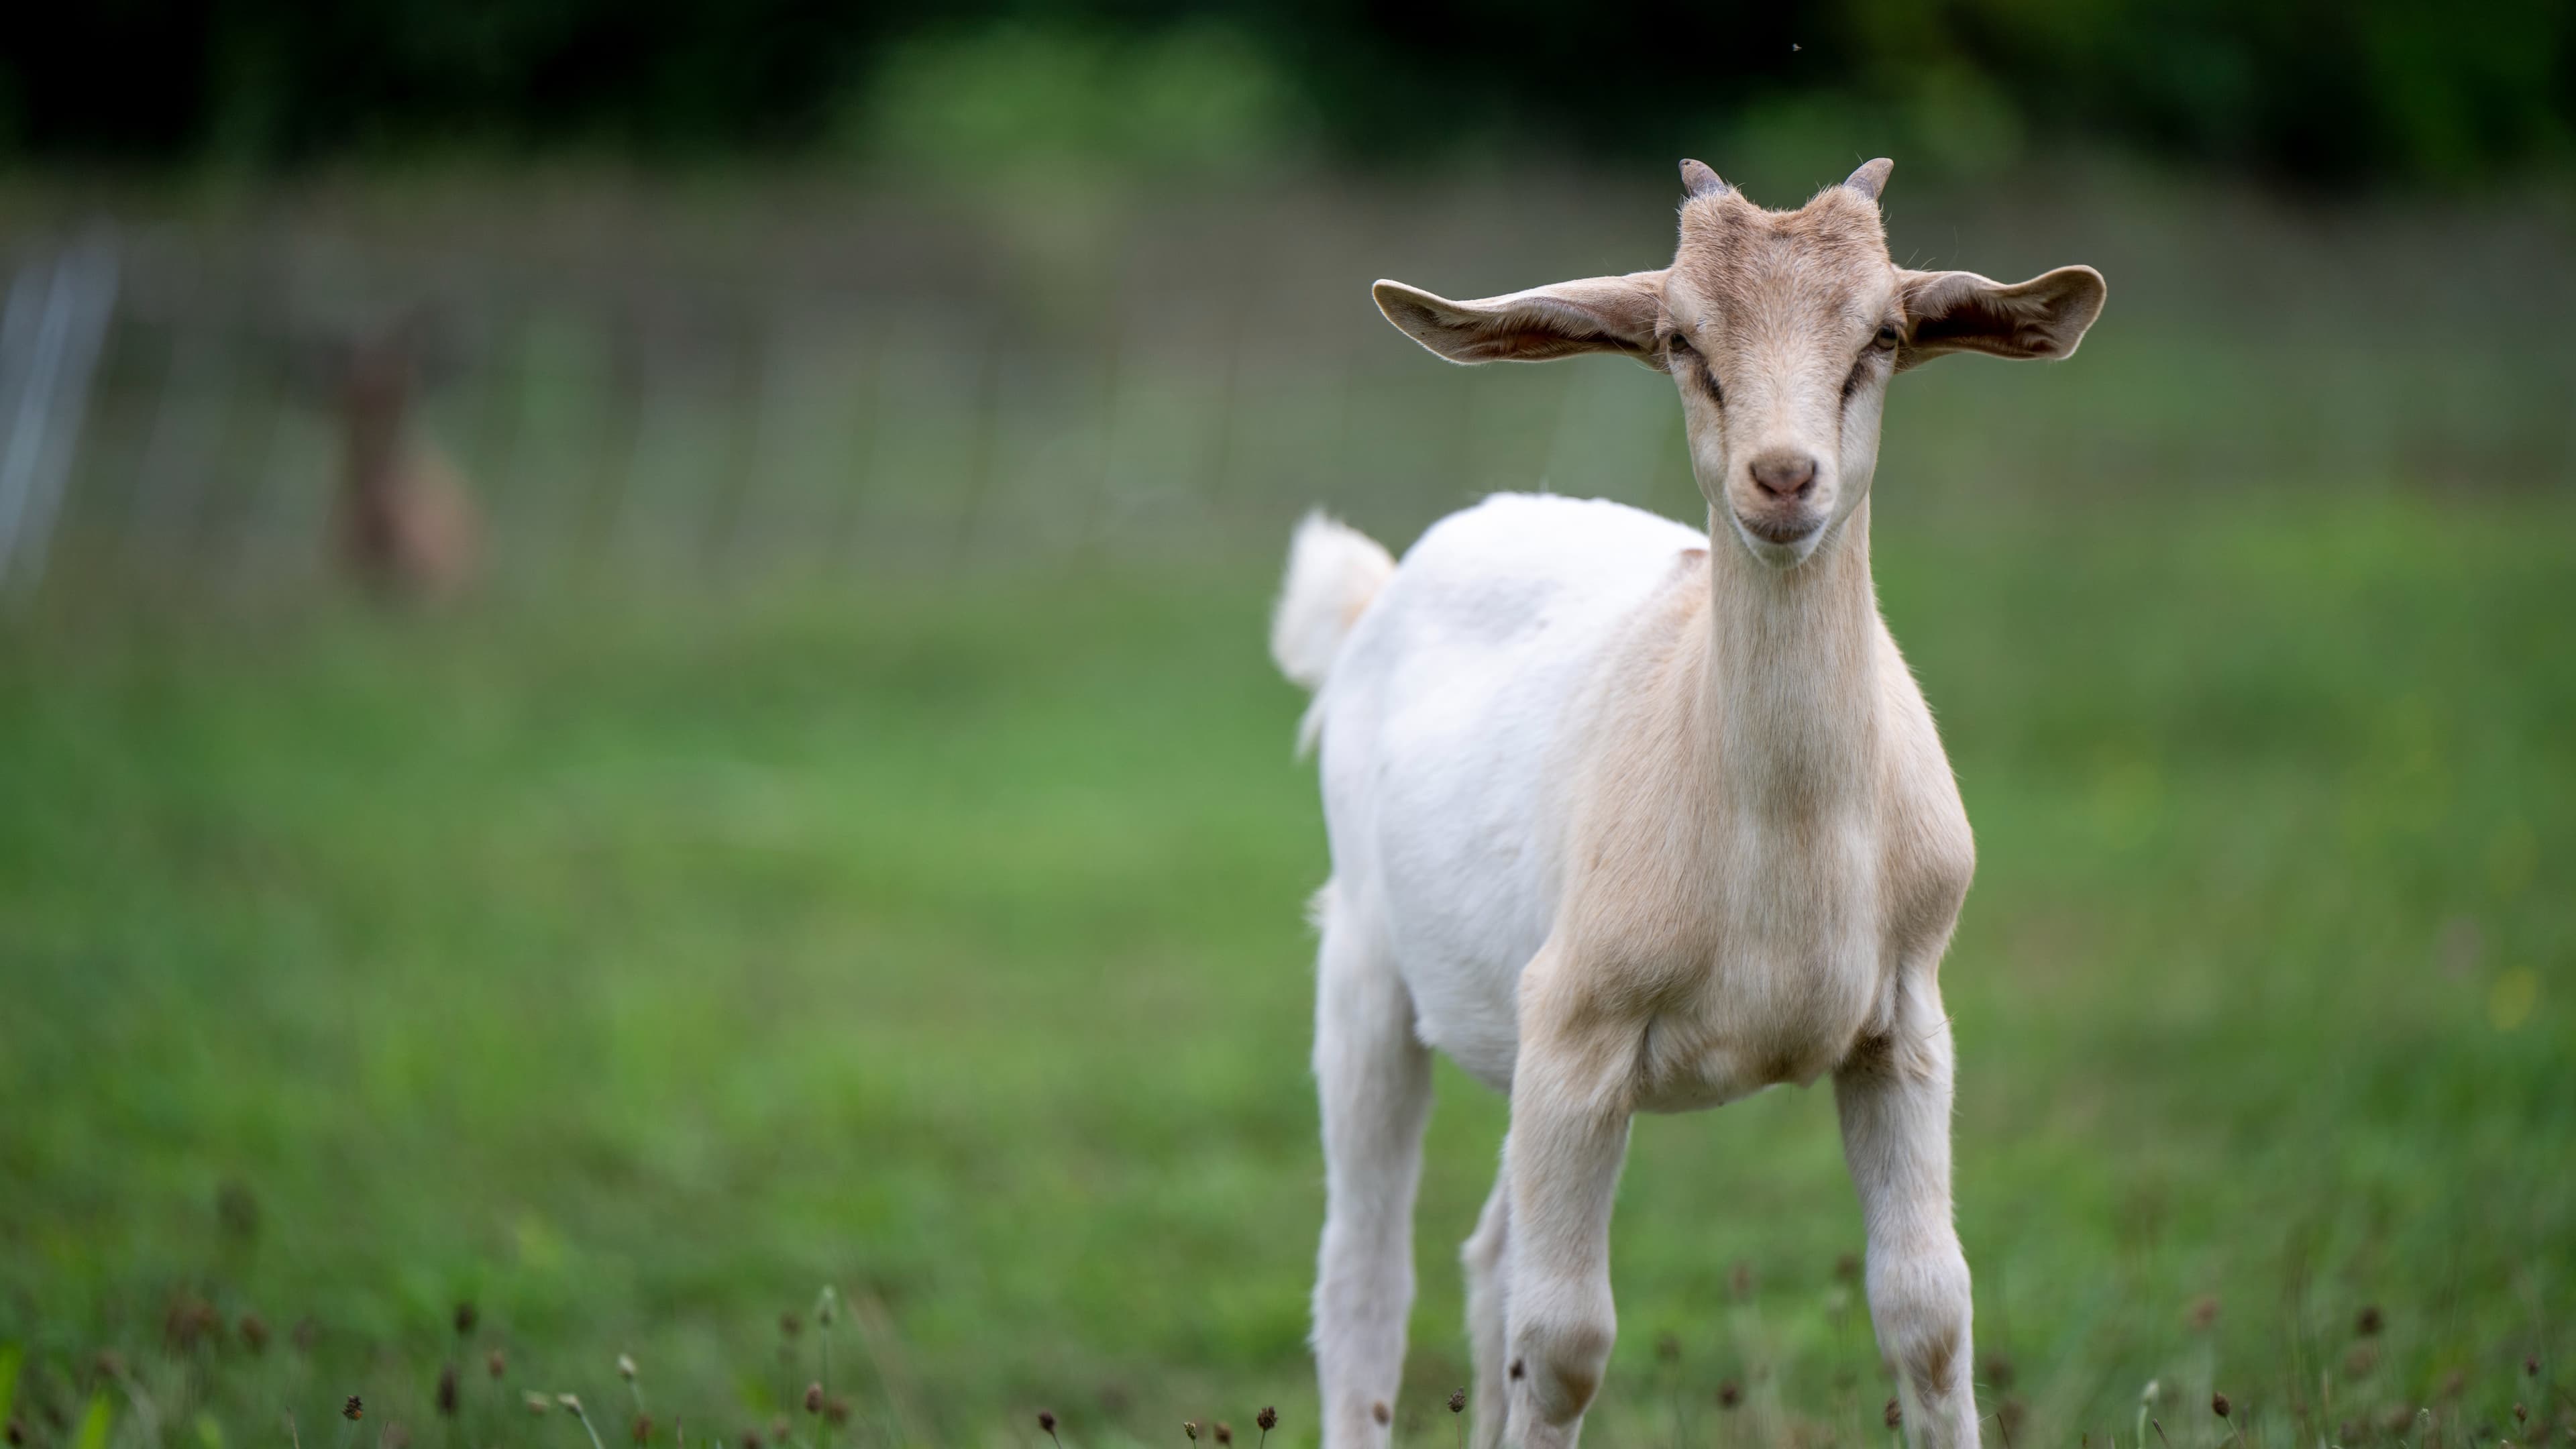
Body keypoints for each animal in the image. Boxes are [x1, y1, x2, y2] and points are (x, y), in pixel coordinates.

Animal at [1271, 158, 2105, 1449]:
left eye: (1884, 334)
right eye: (1680, 339)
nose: (1784, 476)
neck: (1783, 846)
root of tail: (1376, 596)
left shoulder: (1905, 1023)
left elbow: (1929, 1312)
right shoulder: (1579, 1022)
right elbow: (1565, 1342)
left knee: (1489, 1260)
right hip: (1366, 965)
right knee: (1367, 1276)